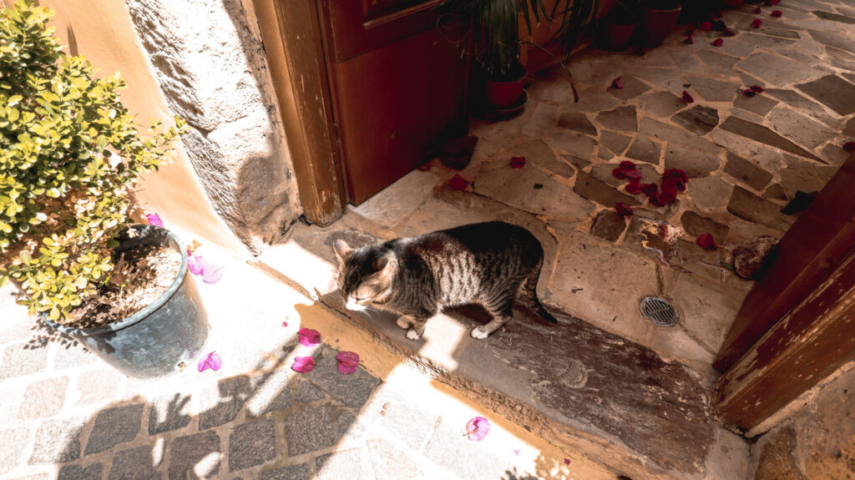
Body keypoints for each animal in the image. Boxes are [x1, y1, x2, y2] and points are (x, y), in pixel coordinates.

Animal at [332, 222, 560, 342]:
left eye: (359, 298)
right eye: (342, 292)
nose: (348, 306)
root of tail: (534, 240)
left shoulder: (428, 306)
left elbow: (421, 321)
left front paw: (414, 331)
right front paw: (406, 318)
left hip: (494, 293)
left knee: (506, 315)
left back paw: (483, 330)